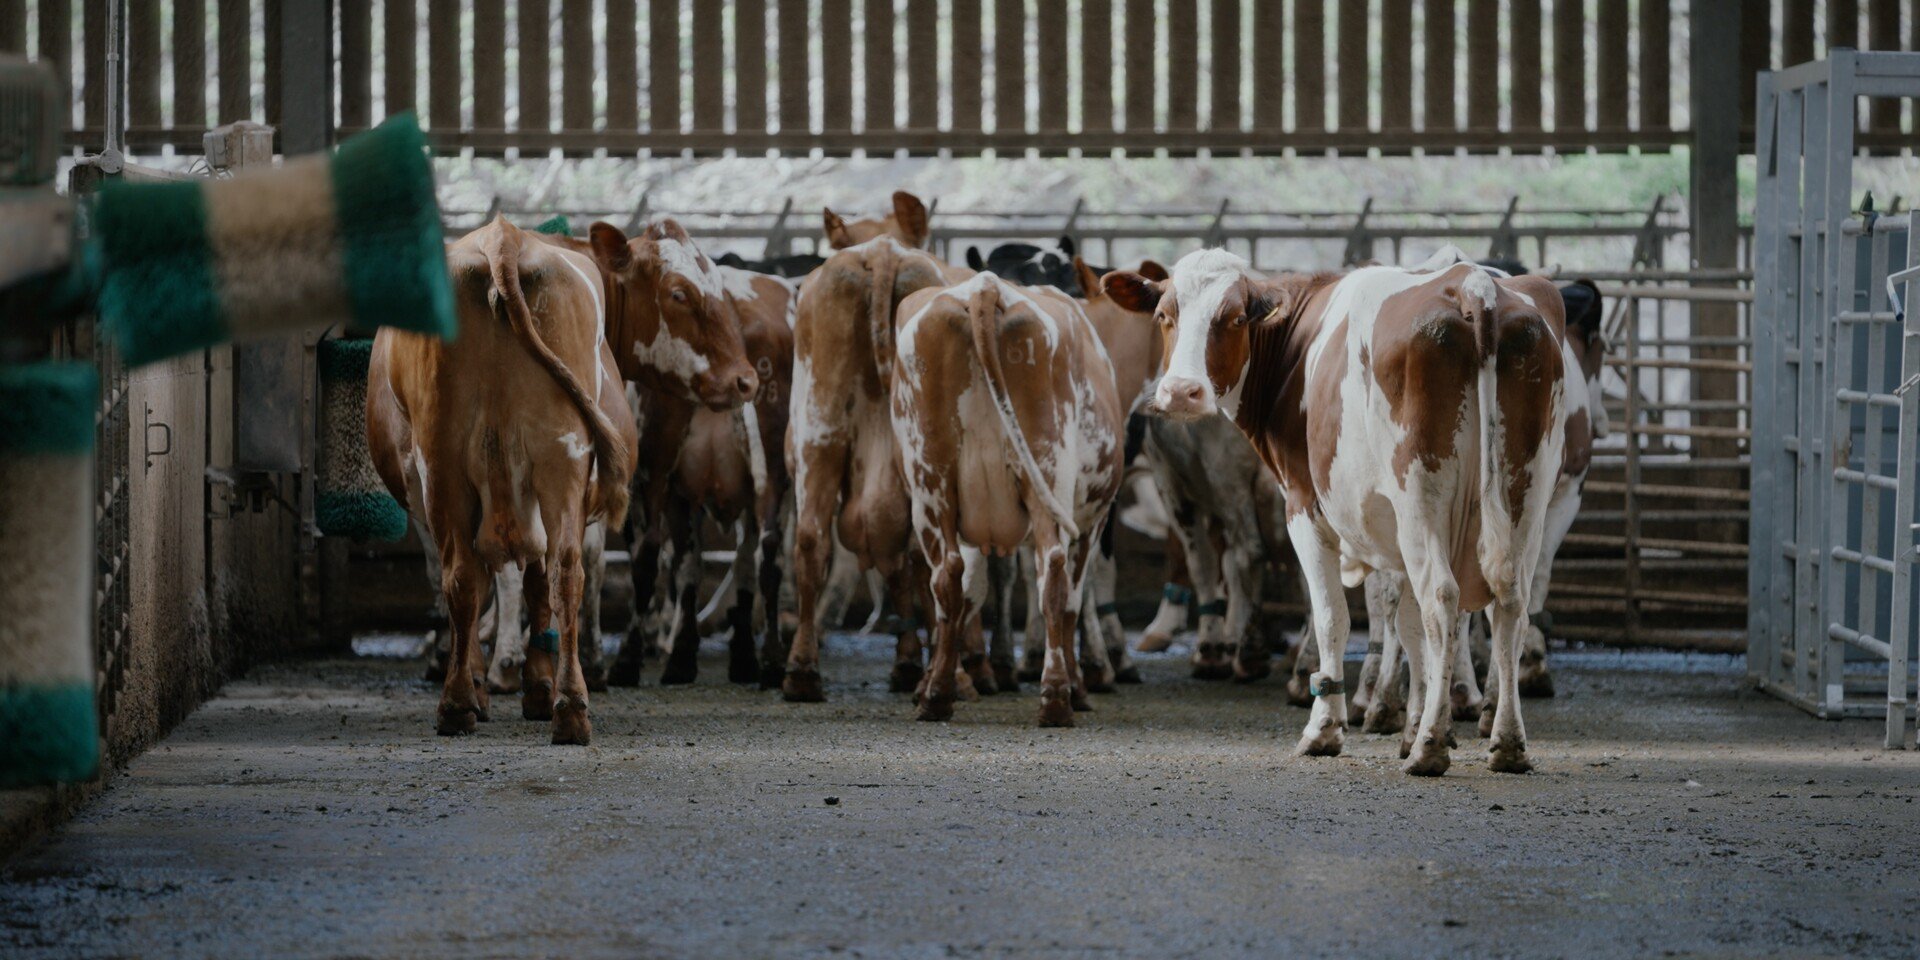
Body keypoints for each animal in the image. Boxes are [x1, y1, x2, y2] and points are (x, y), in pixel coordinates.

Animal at [367, 217, 639, 743]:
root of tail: (503, 236)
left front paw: (493, 682)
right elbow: (524, 583)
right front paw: (526, 686)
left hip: (449, 466)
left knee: (471, 575)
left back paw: (465, 701)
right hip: (556, 459)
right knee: (557, 572)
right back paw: (566, 706)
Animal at [890, 273, 1125, 724]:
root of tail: (984, 286)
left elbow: (970, 591)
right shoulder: (1092, 519)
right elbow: (1072, 602)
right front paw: (1079, 688)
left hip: (932, 480)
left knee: (948, 576)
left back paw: (938, 696)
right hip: (1047, 471)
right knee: (1053, 575)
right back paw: (1056, 697)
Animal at [1105, 246, 1568, 776]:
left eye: (1235, 317)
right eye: (1165, 316)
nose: (1182, 392)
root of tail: (1475, 287)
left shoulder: (1305, 505)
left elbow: (1333, 618)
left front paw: (1327, 729)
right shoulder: (1393, 532)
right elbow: (1409, 626)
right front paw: (1411, 725)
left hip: (1423, 496)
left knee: (1443, 597)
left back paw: (1430, 748)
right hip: (1524, 492)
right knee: (1509, 602)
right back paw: (1506, 741)